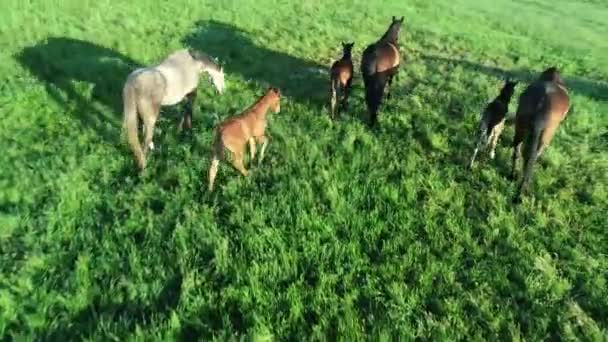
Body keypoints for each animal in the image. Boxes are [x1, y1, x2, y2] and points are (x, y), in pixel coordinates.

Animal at [510, 66, 572, 203]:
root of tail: (542, 101)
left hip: (520, 124)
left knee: (518, 149)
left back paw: (513, 175)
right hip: (546, 134)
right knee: (531, 157)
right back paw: (523, 190)